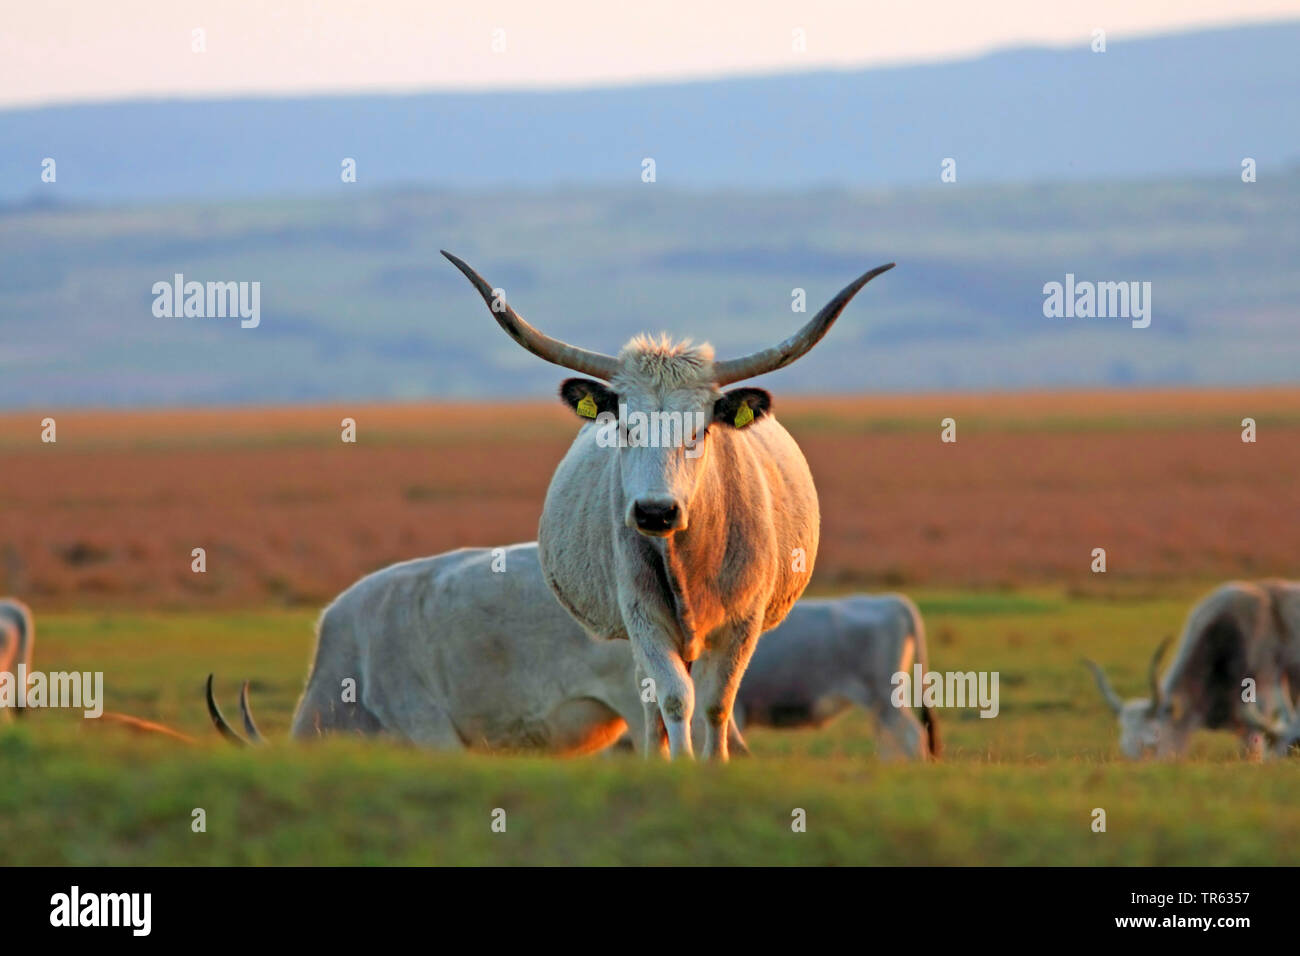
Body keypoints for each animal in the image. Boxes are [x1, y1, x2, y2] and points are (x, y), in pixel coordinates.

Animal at [442, 251, 893, 760]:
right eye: (624, 427)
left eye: (699, 430)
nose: (655, 512)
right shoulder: (643, 616)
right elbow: (675, 698)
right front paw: (679, 763)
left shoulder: (742, 622)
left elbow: (717, 704)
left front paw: (716, 763)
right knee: (650, 700)